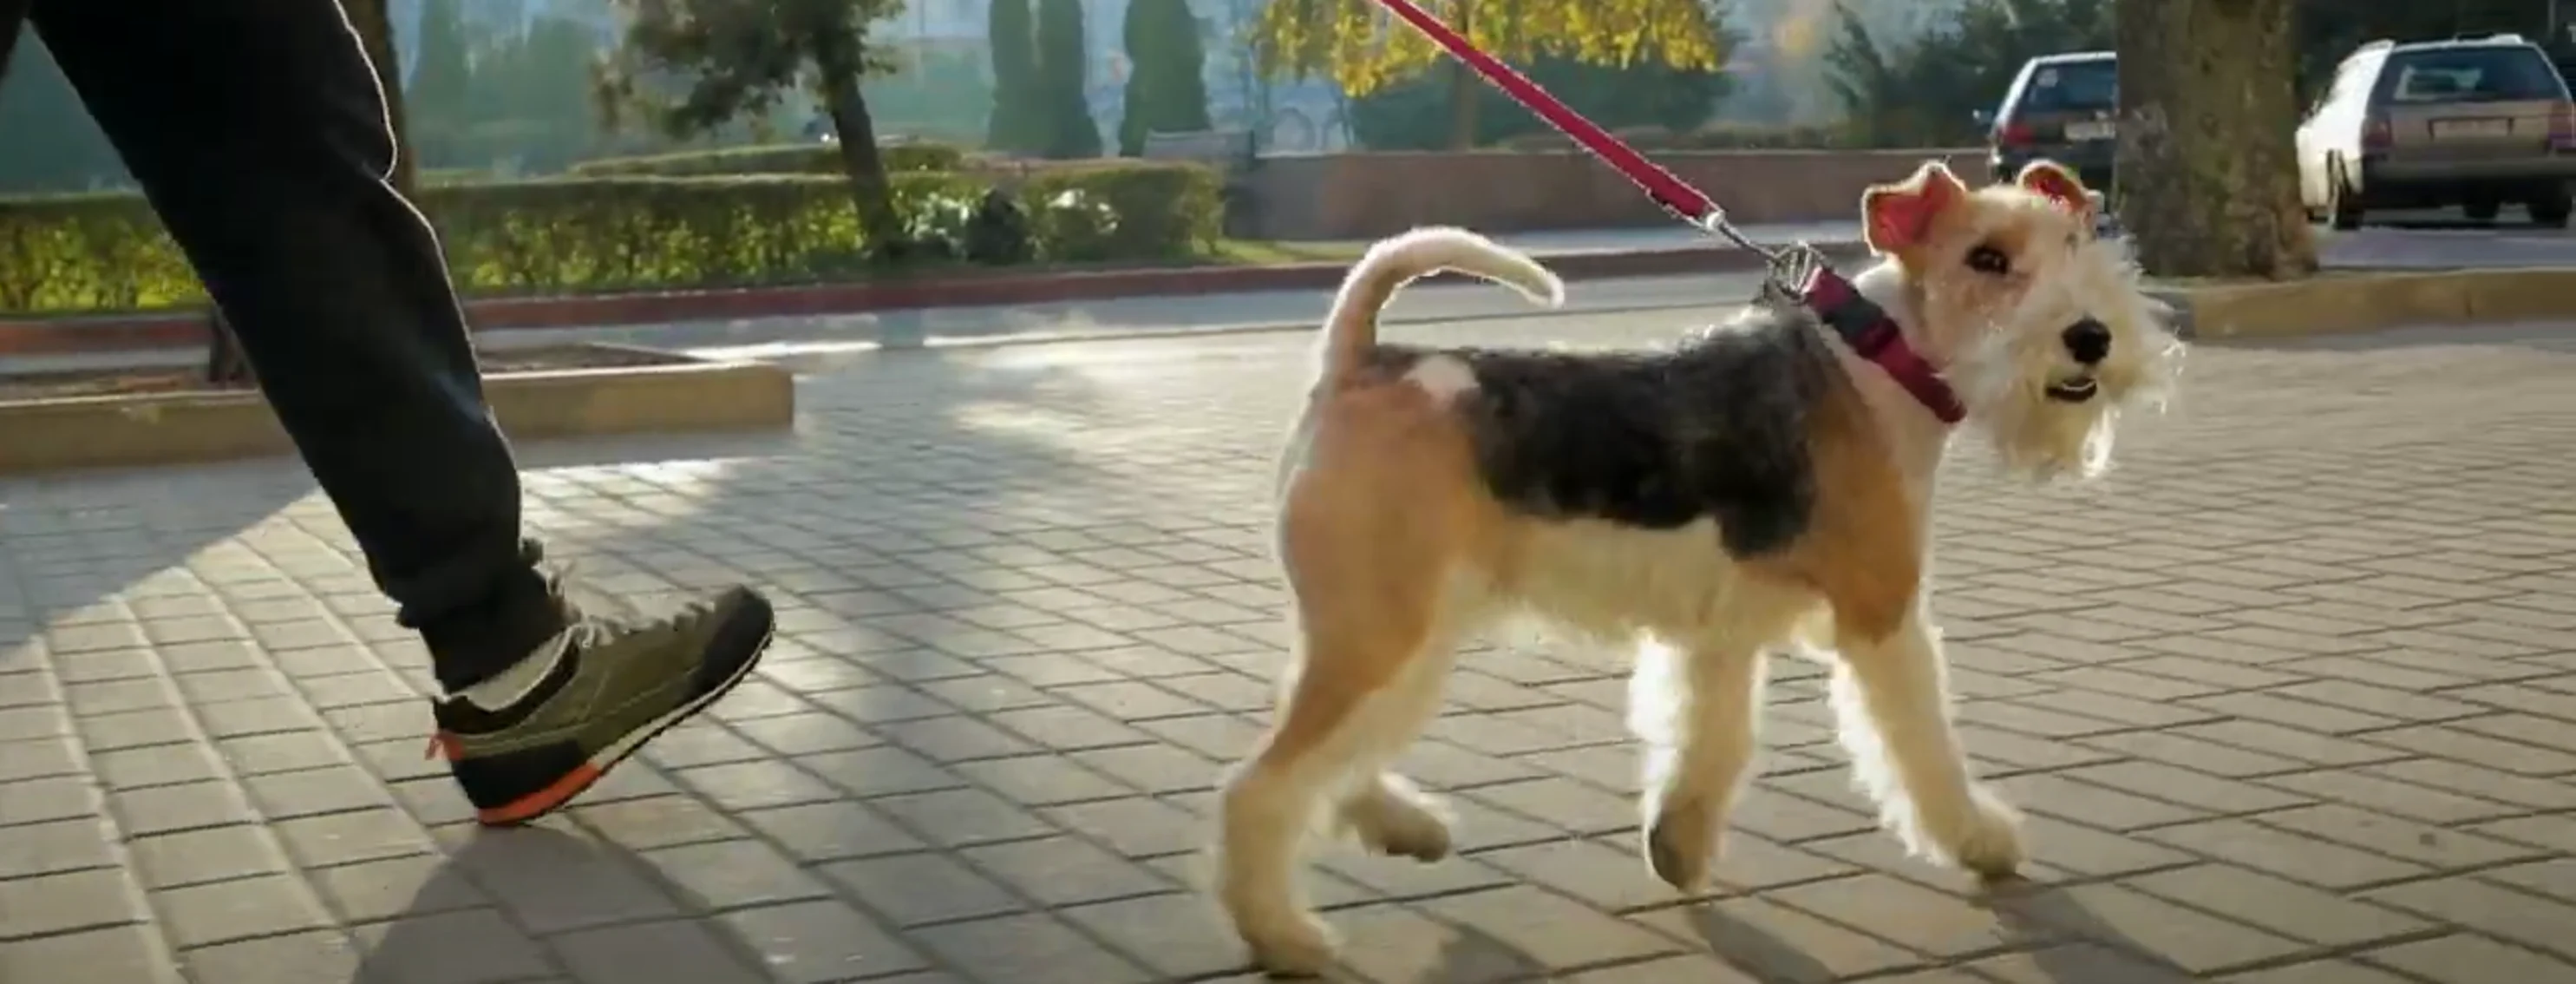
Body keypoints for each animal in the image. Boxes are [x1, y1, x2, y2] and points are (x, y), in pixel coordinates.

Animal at [1215, 157, 2184, 974]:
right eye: (1987, 257)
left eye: (2076, 245)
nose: (2090, 338)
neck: (1874, 366)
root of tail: (1359, 358)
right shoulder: (1883, 613)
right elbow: (1922, 746)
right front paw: (1981, 842)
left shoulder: (1720, 632)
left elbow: (1708, 746)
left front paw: (1675, 851)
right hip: (1382, 625)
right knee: (1260, 786)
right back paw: (1286, 936)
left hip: (1400, 625)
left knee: (1329, 757)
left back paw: (1405, 828)